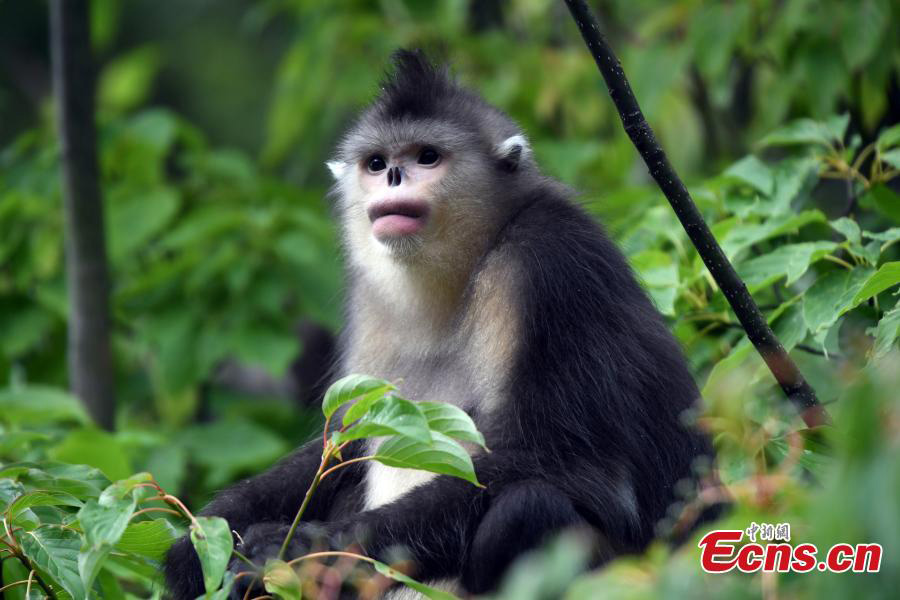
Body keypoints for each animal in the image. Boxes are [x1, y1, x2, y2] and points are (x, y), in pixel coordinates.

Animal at [164, 49, 716, 599]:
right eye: (376, 163)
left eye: (427, 157)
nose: (393, 176)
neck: (467, 267)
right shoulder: (370, 299)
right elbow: (342, 440)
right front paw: (202, 540)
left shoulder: (551, 265)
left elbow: (571, 463)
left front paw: (300, 549)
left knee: (528, 506)